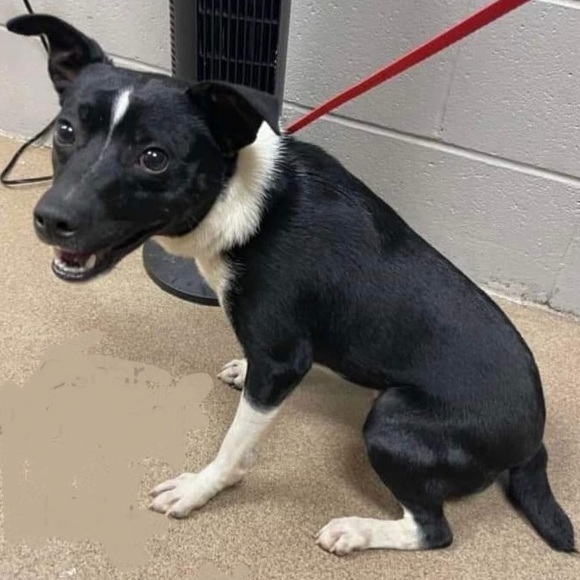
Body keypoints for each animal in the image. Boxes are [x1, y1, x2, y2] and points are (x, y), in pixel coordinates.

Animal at [9, 14, 576, 556]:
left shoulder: (283, 363)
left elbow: (234, 445)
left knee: (434, 531)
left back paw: (356, 531)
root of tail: (534, 442)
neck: (238, 194)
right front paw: (241, 371)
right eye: (65, 130)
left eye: (154, 157)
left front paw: (199, 490)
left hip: (391, 421)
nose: (50, 218)